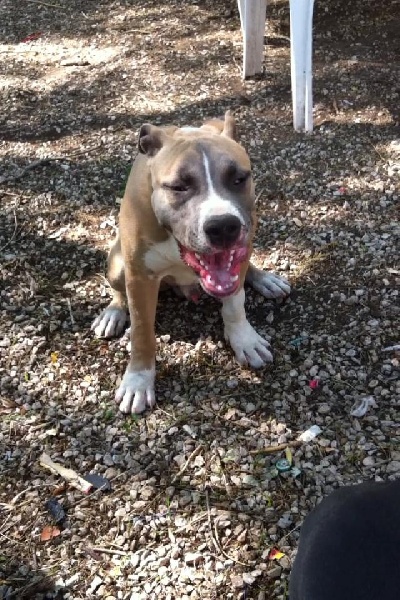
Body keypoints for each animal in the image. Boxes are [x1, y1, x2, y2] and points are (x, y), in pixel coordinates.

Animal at [92, 111, 290, 414]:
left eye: (238, 178)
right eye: (178, 187)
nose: (223, 226)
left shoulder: (239, 256)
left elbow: (235, 303)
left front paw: (243, 338)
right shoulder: (139, 277)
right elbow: (141, 332)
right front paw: (138, 380)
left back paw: (265, 279)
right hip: (118, 264)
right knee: (118, 291)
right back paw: (113, 313)